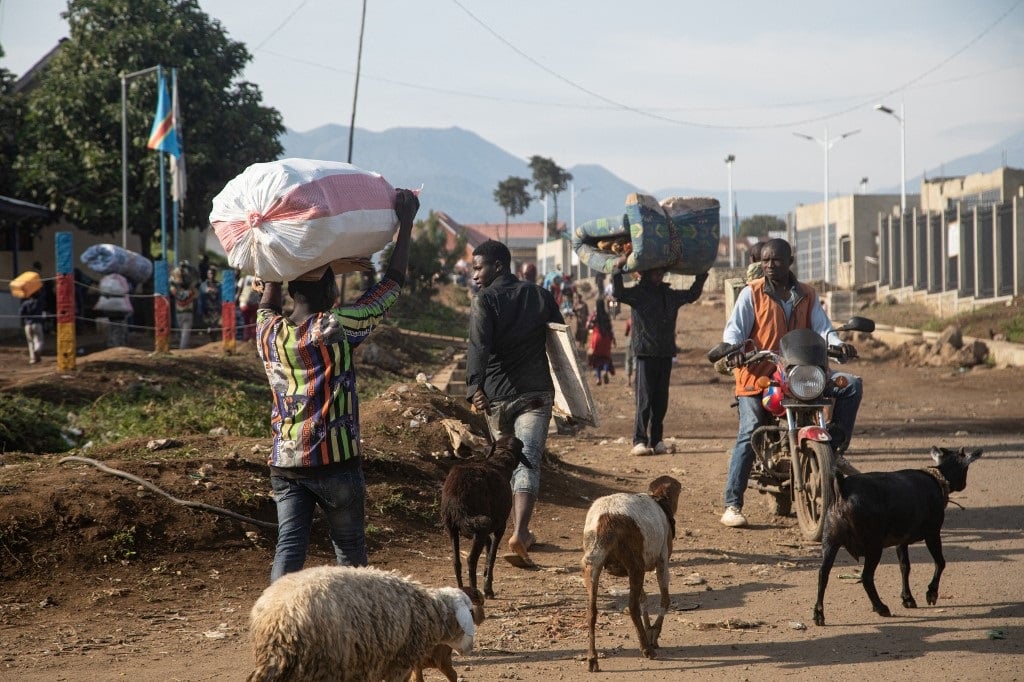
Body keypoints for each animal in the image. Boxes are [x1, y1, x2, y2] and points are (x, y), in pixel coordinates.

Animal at [246, 561, 479, 679]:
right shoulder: (399, 661)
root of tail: (278, 618)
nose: (470, 648)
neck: (429, 610)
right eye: (469, 612)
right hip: (325, 661)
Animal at [442, 436, 532, 593]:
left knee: (456, 562)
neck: (499, 461)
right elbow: (492, 557)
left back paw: (462, 590)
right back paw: (475, 592)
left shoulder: (483, 533)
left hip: (452, 528)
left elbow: (488, 552)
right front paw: (488, 587)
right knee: (471, 560)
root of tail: (457, 495)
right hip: (481, 525)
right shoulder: (500, 527)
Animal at [581, 473, 684, 667]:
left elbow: (644, 599)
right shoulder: (661, 560)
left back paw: (592, 658)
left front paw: (648, 629)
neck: (660, 501)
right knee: (632, 606)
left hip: (593, 564)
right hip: (635, 566)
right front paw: (654, 633)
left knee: (592, 611)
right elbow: (664, 600)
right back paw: (646, 649)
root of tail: (605, 519)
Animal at [815, 444, 983, 622]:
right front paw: (931, 593)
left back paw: (819, 614)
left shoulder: (901, 540)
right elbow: (940, 562)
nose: (964, 484)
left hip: (830, 540)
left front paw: (907, 598)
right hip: (873, 544)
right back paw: (881, 607)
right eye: (966, 468)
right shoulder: (933, 532)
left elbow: (905, 566)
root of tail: (842, 488)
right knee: (866, 576)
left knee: (823, 574)